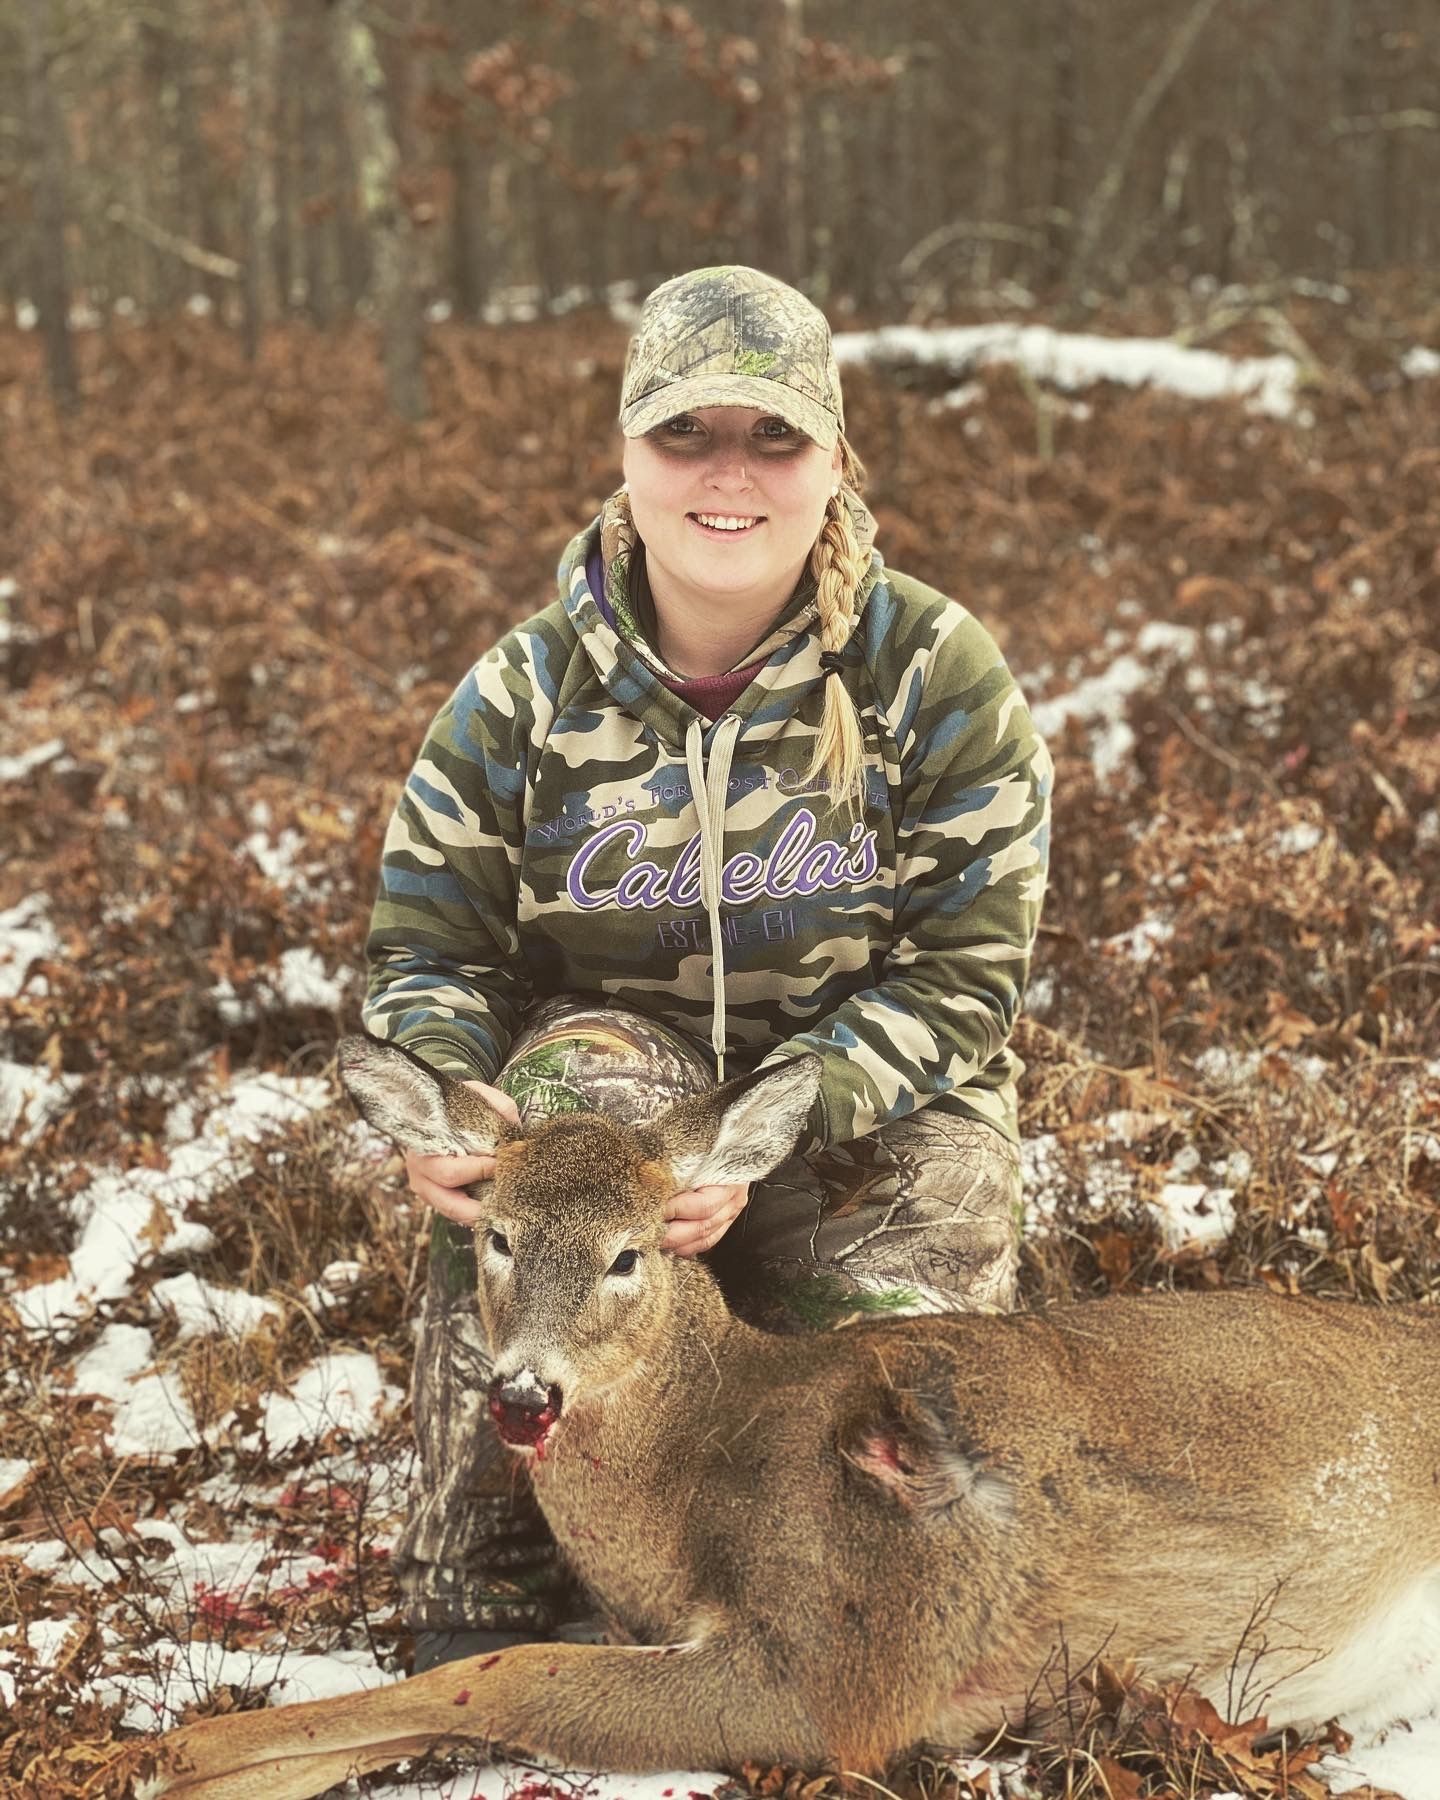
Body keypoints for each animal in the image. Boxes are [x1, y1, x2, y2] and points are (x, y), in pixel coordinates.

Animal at [143, 1044, 1440, 1800]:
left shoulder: (851, 1662)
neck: (693, 1477)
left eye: (629, 1253)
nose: (522, 1395)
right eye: (496, 1235)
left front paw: (167, 1756)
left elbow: (502, 1681)